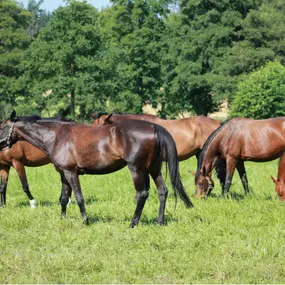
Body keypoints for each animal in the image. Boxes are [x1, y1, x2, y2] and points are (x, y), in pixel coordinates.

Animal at [0, 110, 193, 225]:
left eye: (1, 126)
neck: (56, 136)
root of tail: (154, 127)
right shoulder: (63, 174)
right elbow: (63, 198)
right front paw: (62, 219)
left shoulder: (71, 172)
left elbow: (78, 197)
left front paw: (85, 220)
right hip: (153, 168)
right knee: (163, 191)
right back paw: (160, 221)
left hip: (137, 169)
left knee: (142, 194)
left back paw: (133, 222)